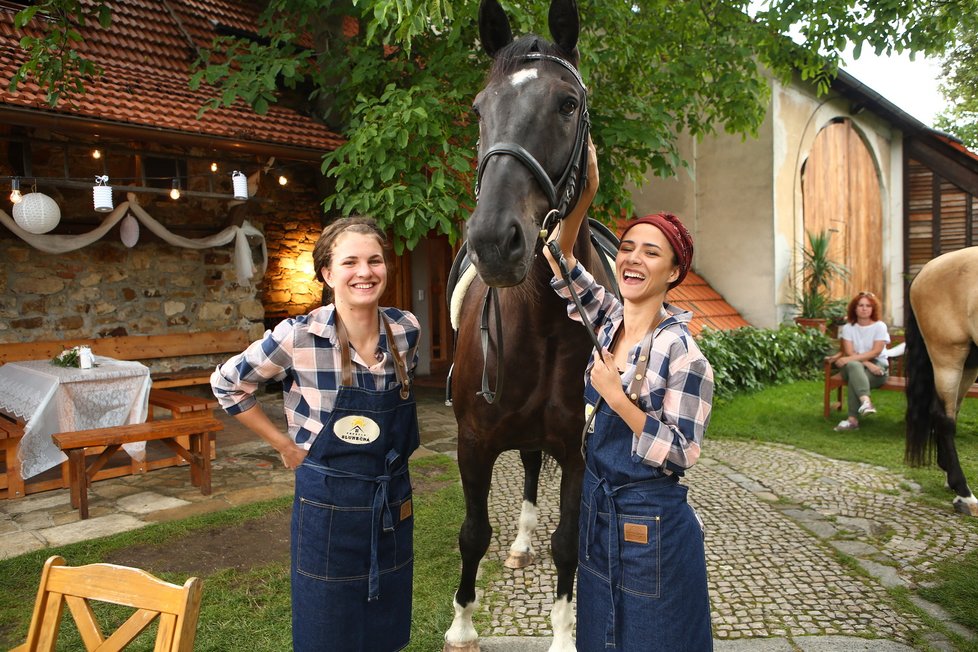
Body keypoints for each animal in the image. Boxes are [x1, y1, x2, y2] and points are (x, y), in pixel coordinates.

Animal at [444, 1, 608, 652]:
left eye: (567, 104)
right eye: (478, 110)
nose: (493, 240)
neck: (540, 320)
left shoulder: (578, 450)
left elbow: (568, 544)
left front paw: (563, 633)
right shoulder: (472, 441)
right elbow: (471, 531)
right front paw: (461, 624)